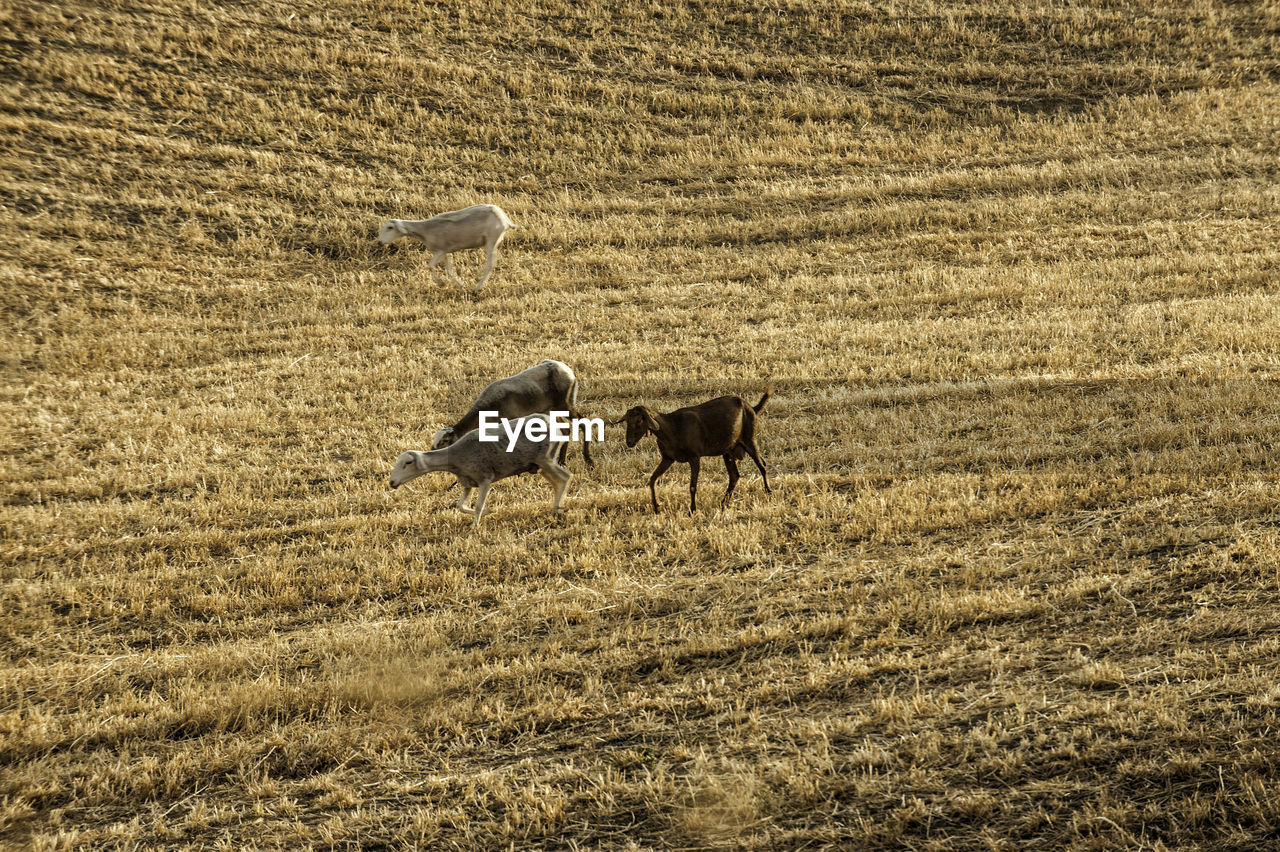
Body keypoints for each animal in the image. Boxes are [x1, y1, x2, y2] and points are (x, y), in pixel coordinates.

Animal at [378, 203, 514, 291]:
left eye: (390, 227)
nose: (379, 242)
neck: (424, 230)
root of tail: (503, 217)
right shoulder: (445, 251)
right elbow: (449, 270)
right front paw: (460, 286)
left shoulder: (441, 250)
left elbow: (430, 265)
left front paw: (441, 283)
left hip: (492, 239)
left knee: (490, 264)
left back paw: (477, 288)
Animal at [386, 411, 573, 524]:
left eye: (407, 463)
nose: (391, 482)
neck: (454, 458)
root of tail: (553, 423)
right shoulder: (467, 482)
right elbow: (460, 506)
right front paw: (488, 511)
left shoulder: (485, 479)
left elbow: (477, 505)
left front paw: (474, 528)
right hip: (538, 464)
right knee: (557, 482)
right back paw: (556, 506)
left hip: (545, 459)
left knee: (565, 478)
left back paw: (557, 509)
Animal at [430, 355, 588, 468]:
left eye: (444, 441)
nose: (431, 453)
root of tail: (568, 371)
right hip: (550, 409)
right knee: (566, 429)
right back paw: (561, 461)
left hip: (565, 404)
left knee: (583, 423)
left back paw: (588, 460)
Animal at [616, 388, 768, 511]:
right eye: (627, 421)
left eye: (639, 420)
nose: (629, 442)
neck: (672, 428)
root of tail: (751, 407)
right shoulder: (668, 459)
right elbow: (653, 479)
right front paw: (656, 507)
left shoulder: (694, 458)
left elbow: (692, 486)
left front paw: (692, 509)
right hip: (728, 452)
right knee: (734, 476)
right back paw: (723, 503)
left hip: (749, 439)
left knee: (762, 465)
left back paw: (768, 491)